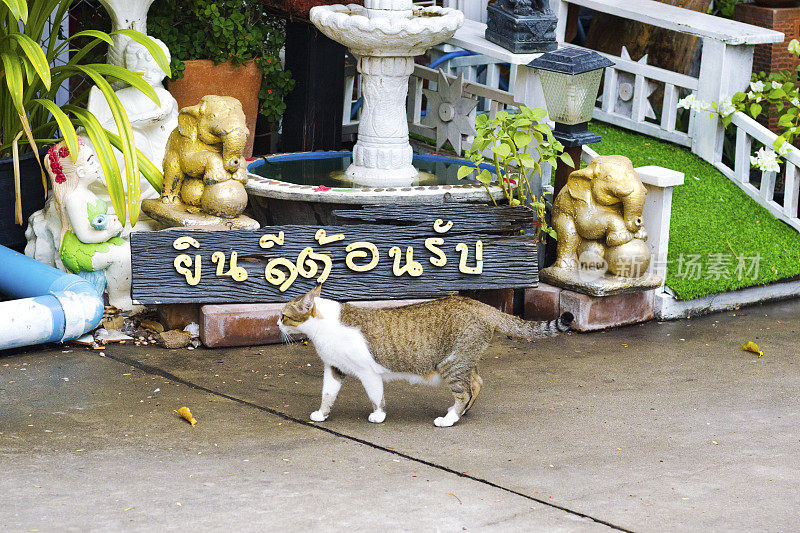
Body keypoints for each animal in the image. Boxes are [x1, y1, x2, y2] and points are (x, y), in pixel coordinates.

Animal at [278, 284, 572, 426]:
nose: (277, 323)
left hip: (452, 364)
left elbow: (376, 397)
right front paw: (322, 413)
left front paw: (378, 416)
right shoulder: (334, 369)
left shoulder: (367, 372)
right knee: (477, 382)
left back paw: (450, 419)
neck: (324, 327)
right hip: (462, 361)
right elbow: (327, 395)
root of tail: (476, 303)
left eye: (284, 315)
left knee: (465, 390)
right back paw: (459, 412)